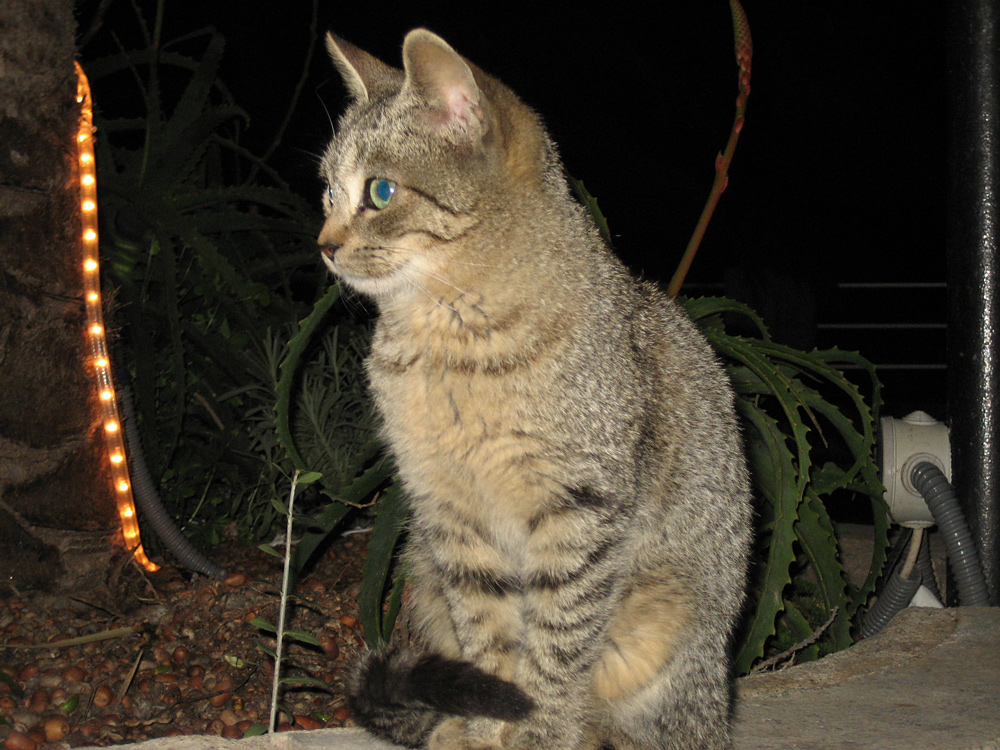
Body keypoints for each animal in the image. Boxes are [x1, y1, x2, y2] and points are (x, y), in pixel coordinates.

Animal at [318, 26, 752, 748]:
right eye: (327, 193)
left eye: (379, 192)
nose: (323, 243)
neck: (448, 346)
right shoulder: (451, 516)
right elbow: (487, 636)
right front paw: (485, 722)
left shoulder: (580, 510)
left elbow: (556, 643)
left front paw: (539, 728)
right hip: (422, 569)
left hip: (666, 628)